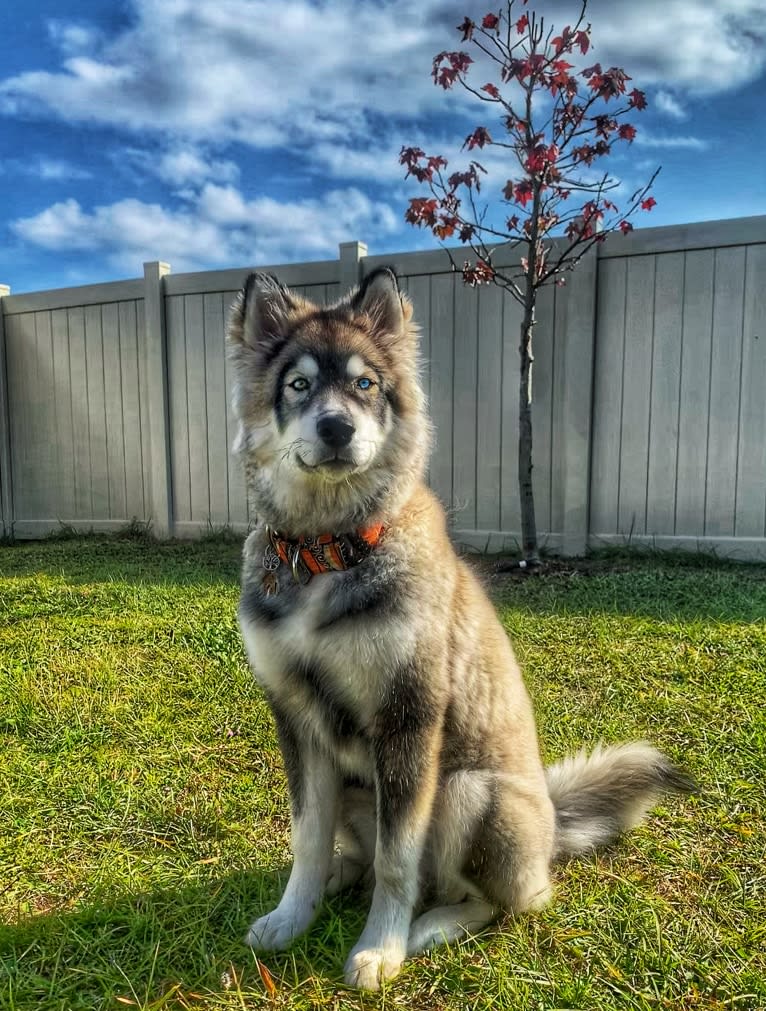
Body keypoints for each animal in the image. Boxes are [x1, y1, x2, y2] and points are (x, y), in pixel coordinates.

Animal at [226, 264, 695, 990]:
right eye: (298, 385)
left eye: (365, 385)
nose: (336, 428)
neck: (329, 551)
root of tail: (552, 826)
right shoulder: (297, 718)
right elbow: (306, 835)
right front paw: (291, 914)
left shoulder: (410, 719)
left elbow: (399, 861)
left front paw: (380, 948)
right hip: (367, 790)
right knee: (355, 852)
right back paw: (338, 878)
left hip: (468, 792)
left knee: (495, 900)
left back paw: (429, 927)